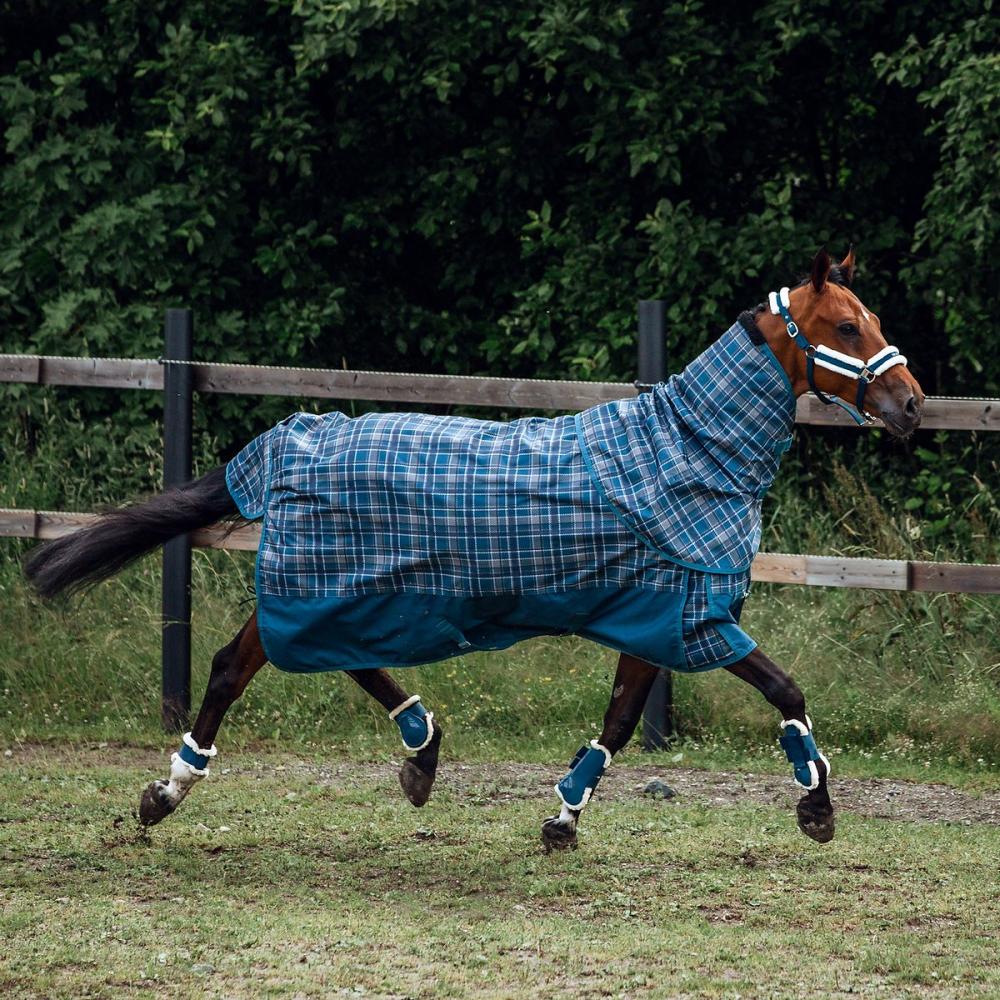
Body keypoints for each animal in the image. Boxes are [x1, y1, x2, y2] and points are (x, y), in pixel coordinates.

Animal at [21, 250, 920, 852]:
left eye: (874, 320)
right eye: (846, 325)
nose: (911, 405)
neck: (683, 452)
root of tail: (292, 439)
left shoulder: (652, 619)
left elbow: (621, 722)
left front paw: (562, 819)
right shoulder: (694, 620)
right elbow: (785, 690)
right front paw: (817, 808)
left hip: (348, 591)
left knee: (307, 660)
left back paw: (419, 753)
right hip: (329, 585)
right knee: (236, 667)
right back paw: (171, 791)